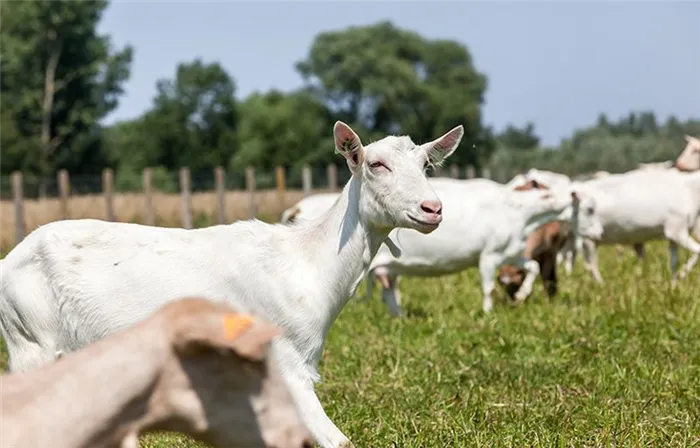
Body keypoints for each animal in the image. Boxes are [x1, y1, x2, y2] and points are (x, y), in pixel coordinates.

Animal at [0, 121, 464, 448]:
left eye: (426, 165)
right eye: (375, 164)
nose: (433, 208)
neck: (305, 262)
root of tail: (9, 261)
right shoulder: (287, 358)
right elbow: (337, 441)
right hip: (31, 340)